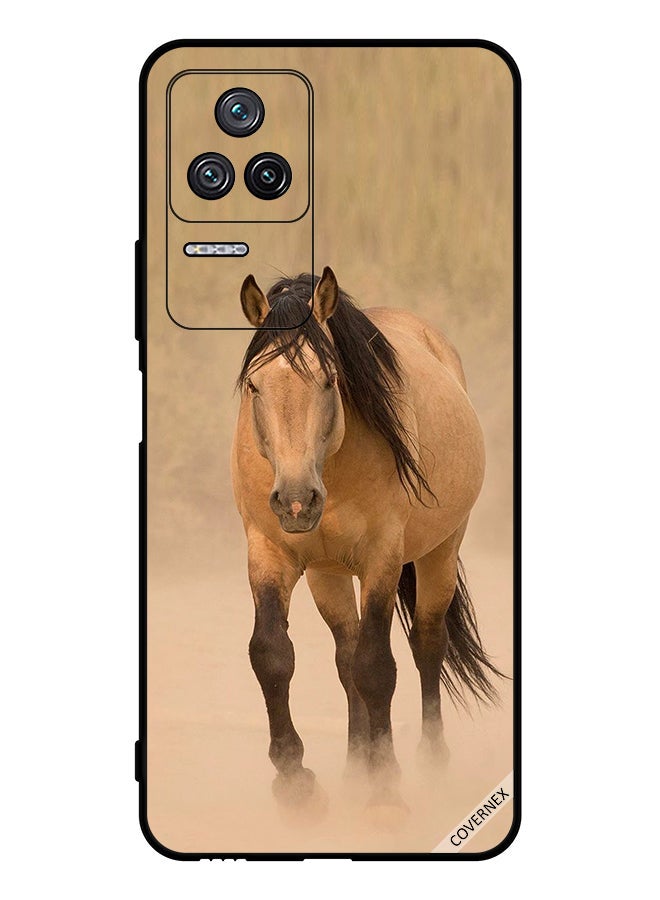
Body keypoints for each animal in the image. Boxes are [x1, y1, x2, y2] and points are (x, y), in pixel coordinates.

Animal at [231, 267, 502, 819]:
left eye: (330, 379)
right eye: (254, 384)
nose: (296, 501)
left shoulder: (382, 559)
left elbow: (378, 667)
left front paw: (386, 787)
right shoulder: (269, 553)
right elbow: (272, 654)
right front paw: (296, 781)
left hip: (440, 552)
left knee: (425, 645)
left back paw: (429, 763)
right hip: (327, 573)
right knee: (345, 655)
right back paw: (355, 768)